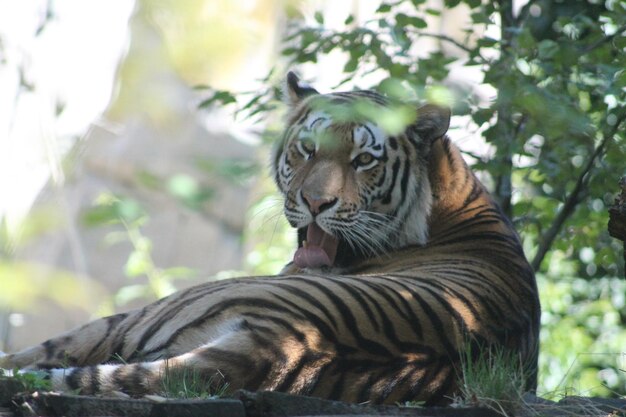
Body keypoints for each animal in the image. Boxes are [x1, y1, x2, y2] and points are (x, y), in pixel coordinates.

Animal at [0, 72, 536, 406]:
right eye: (308, 149)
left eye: (364, 160)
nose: (317, 202)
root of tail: (285, 346)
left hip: (147, 315)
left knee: (41, 353)